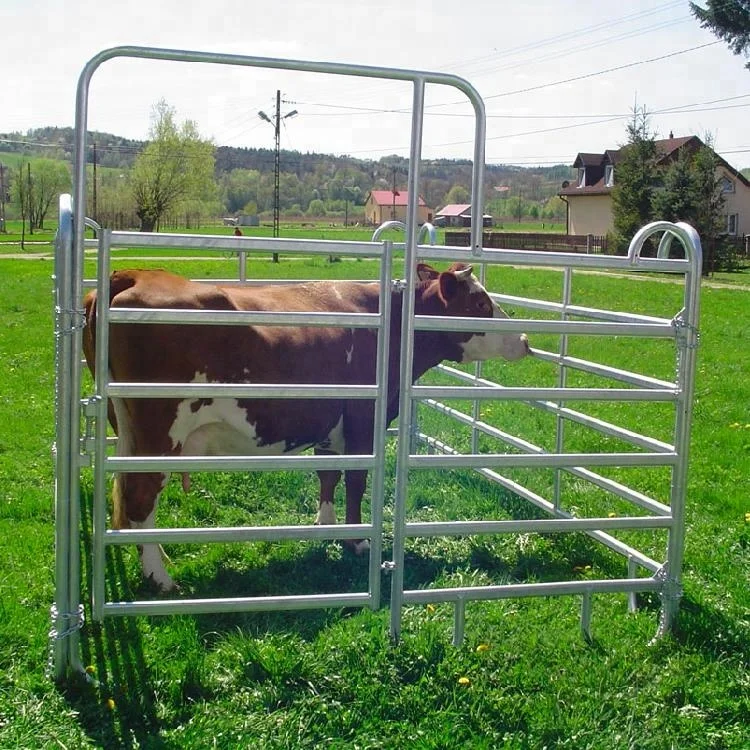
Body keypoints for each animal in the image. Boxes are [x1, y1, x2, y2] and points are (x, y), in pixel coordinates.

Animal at [82, 263, 529, 591]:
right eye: (480, 303)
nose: (525, 340)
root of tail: (137, 274)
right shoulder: (364, 421)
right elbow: (356, 481)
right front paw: (357, 540)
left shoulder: (331, 422)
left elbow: (327, 475)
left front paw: (325, 527)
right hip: (161, 432)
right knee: (141, 497)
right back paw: (160, 578)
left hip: (130, 431)